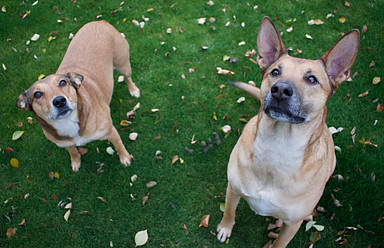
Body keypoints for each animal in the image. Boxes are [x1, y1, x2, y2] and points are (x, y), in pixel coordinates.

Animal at [16, 20, 140, 170]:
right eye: (37, 94)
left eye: (62, 82)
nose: (59, 101)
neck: (68, 122)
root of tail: (100, 21)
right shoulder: (65, 144)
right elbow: (73, 152)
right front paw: (75, 162)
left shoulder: (111, 131)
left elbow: (119, 146)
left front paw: (125, 158)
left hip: (123, 65)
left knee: (128, 78)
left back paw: (134, 90)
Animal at [218, 16, 358, 247]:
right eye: (275, 72)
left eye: (312, 79)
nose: (280, 90)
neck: (277, 147)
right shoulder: (233, 190)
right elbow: (229, 211)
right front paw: (225, 228)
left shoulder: (292, 224)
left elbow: (280, 243)